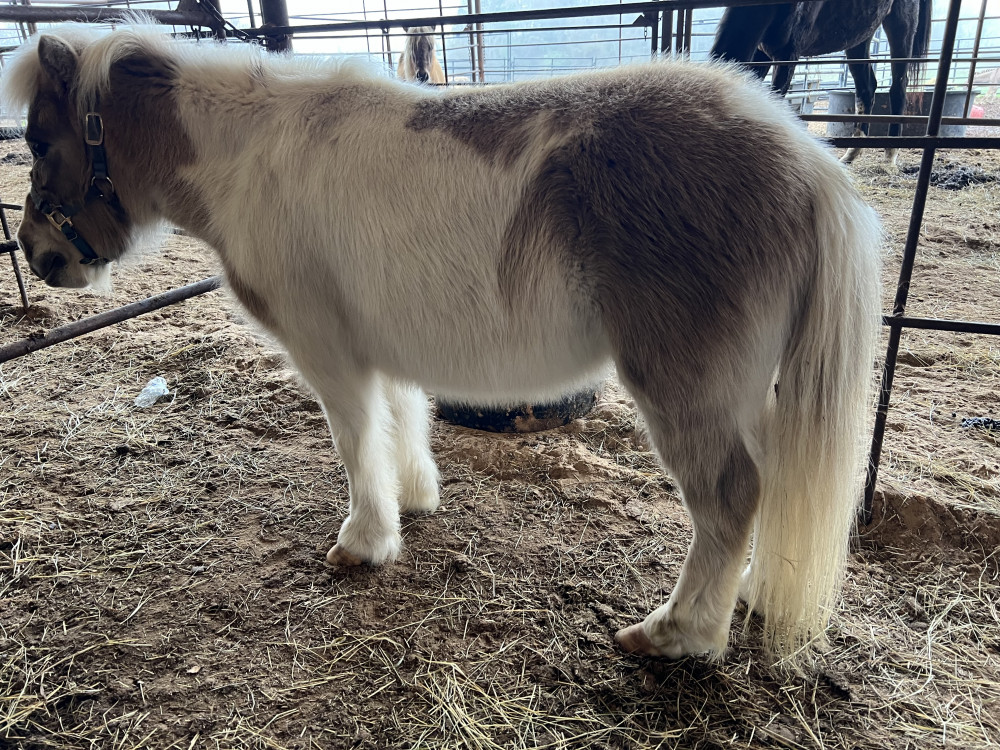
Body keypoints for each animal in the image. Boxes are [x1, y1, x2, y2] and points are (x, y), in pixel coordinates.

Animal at [3, 24, 881, 660]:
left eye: (39, 140)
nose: (37, 254)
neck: (245, 157)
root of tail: (804, 159)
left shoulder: (327, 352)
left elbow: (356, 441)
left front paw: (364, 542)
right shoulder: (378, 349)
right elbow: (401, 424)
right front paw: (415, 500)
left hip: (686, 389)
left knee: (730, 496)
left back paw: (678, 636)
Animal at [711, 0, 932, 165]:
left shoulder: (788, 53)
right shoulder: (761, 52)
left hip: (901, 26)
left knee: (898, 87)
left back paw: (890, 155)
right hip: (860, 36)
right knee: (867, 88)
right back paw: (851, 153)